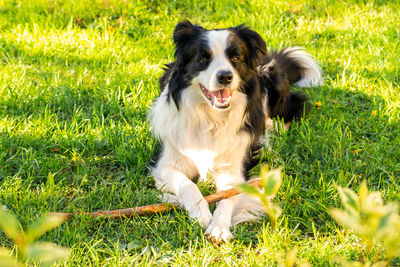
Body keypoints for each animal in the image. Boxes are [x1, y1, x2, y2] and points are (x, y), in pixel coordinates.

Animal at [148, 20, 322, 243]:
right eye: (203, 58)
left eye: (235, 58)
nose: (225, 76)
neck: (210, 118)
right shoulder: (166, 164)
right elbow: (188, 184)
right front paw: (201, 214)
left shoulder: (233, 169)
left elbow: (227, 198)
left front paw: (219, 226)